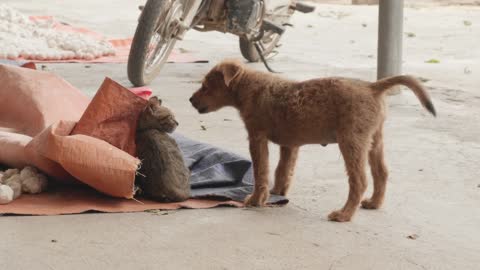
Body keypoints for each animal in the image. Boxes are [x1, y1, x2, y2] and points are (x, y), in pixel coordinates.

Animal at [189, 60, 436, 223]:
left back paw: (344, 214)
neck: (250, 87)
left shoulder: (257, 137)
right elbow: (282, 171)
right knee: (381, 173)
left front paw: (257, 199)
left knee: (359, 180)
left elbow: (261, 171)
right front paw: (278, 193)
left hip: (351, 141)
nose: (191, 100)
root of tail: (371, 86)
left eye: (205, 86)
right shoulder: (289, 145)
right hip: (374, 140)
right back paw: (374, 203)